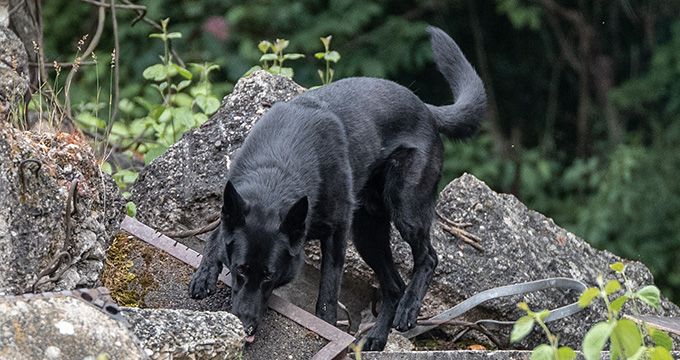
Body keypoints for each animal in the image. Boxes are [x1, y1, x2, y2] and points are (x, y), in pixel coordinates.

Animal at [189, 26, 486, 352]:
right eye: (240, 270)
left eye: (269, 276)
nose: (244, 328)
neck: (278, 169)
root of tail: (426, 109)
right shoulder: (236, 205)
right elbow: (216, 233)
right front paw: (205, 272)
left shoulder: (336, 236)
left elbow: (328, 296)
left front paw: (327, 328)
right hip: (367, 235)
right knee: (394, 286)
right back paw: (377, 337)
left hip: (404, 210)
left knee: (428, 259)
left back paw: (409, 309)